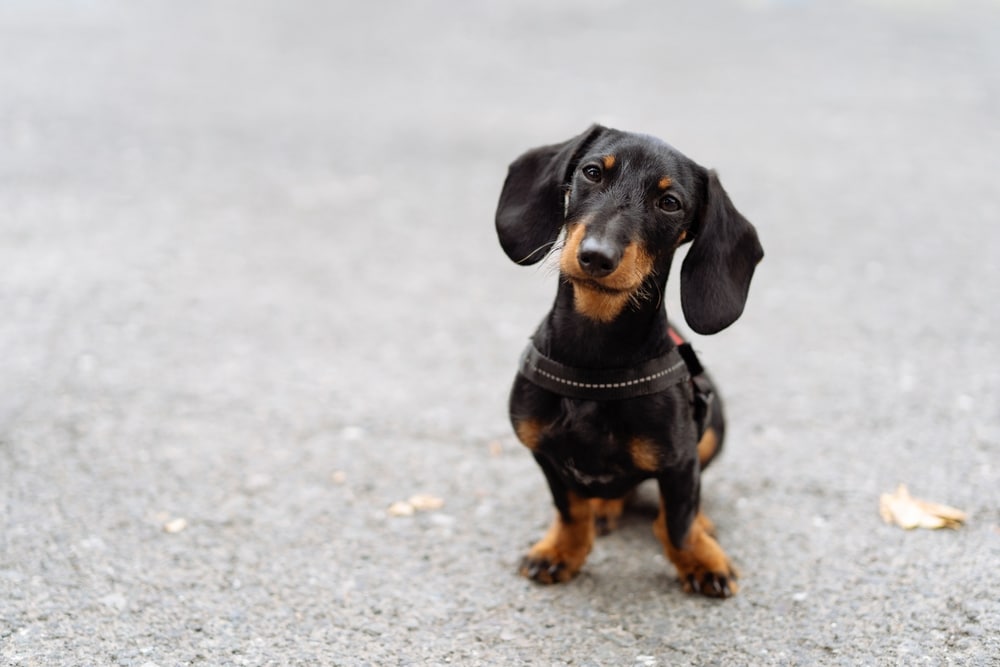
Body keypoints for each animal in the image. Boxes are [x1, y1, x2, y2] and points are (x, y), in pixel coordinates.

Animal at [494, 125, 764, 600]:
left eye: (669, 202)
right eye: (592, 172)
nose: (596, 256)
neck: (594, 362)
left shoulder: (680, 461)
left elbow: (676, 523)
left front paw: (701, 560)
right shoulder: (542, 451)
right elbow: (570, 510)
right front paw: (562, 550)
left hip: (712, 428)